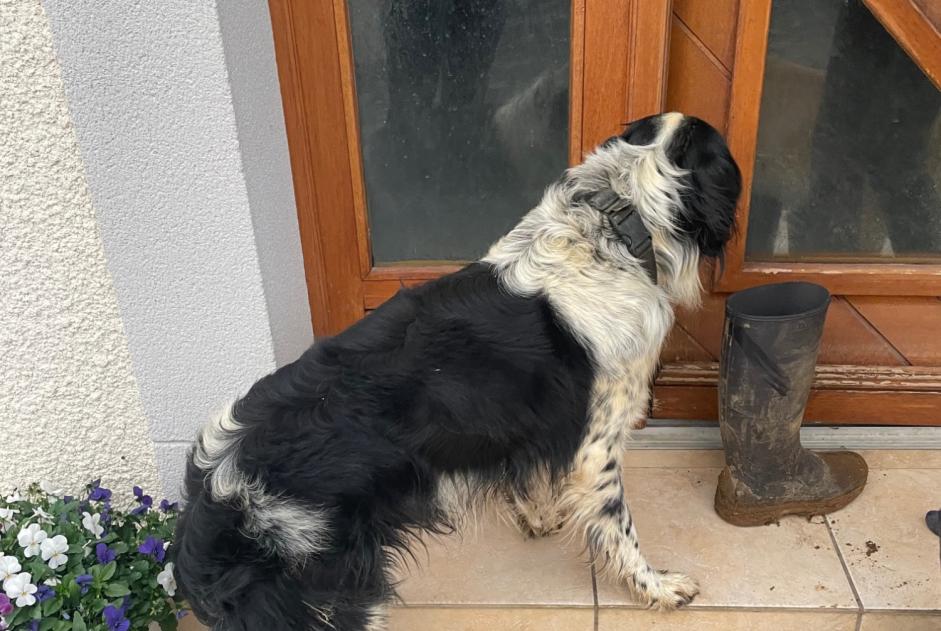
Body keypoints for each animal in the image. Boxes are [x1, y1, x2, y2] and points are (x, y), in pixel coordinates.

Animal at [174, 115, 740, 631]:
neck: (614, 226)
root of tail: (213, 492)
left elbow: (526, 477)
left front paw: (538, 519)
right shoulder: (596, 447)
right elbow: (620, 529)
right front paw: (659, 588)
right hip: (342, 591)